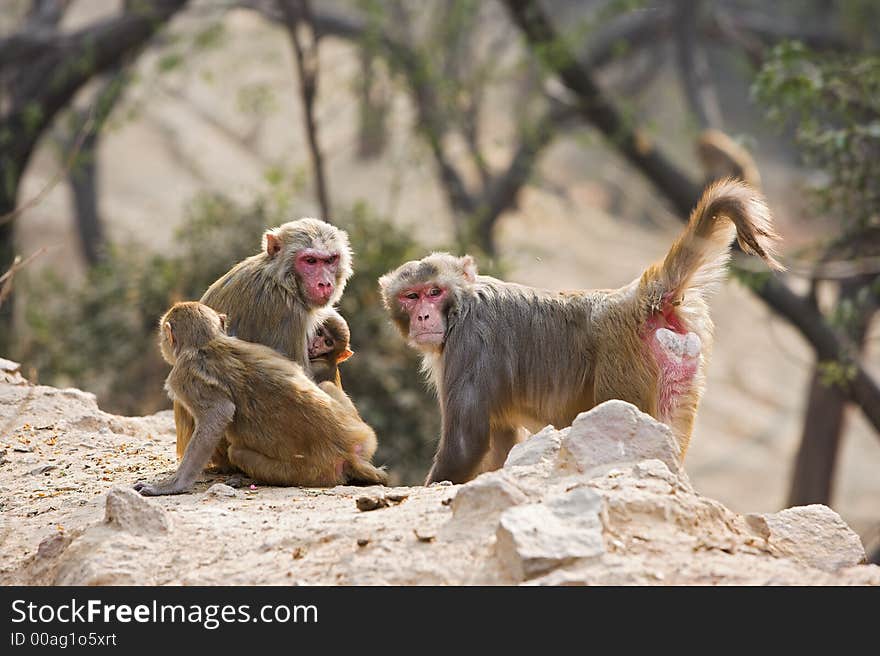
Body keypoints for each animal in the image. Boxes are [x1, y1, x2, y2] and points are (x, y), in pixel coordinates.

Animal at [136, 300, 386, 494]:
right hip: (365, 436)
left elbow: (218, 414)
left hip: (306, 473)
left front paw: (174, 485)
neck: (208, 342)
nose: (163, 342)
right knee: (326, 385)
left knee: (237, 452)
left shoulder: (182, 375)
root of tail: (348, 453)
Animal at [378, 177, 784, 484]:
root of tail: (635, 299)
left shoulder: (470, 342)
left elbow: (468, 443)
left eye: (434, 292)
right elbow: (501, 437)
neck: (462, 304)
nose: (424, 317)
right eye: (411, 296)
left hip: (623, 370)